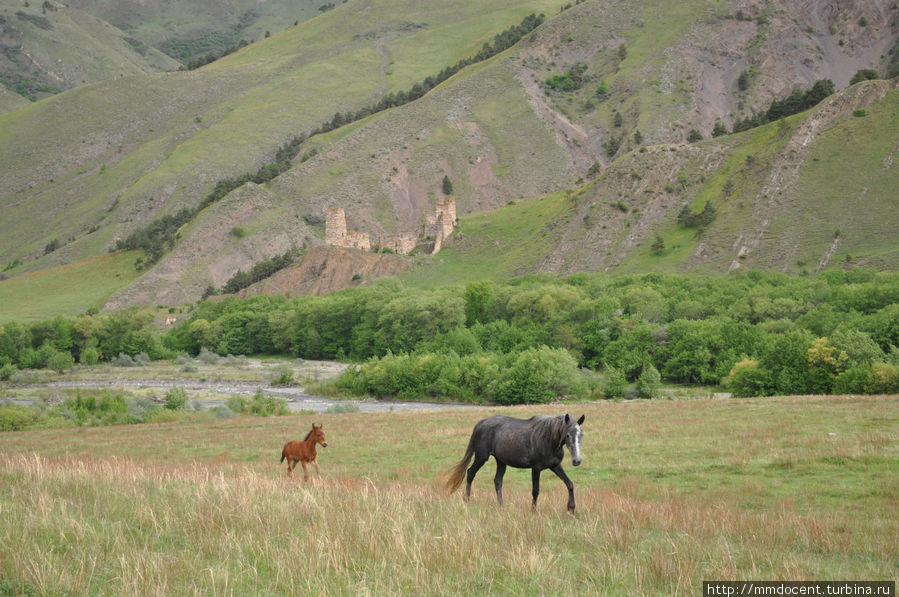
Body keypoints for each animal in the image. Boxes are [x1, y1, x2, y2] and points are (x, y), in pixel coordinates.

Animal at [446, 412, 588, 516]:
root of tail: (481, 423)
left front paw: (571, 509)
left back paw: (501, 506)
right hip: (481, 457)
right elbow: (535, 490)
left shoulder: (555, 466)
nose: (577, 461)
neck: (548, 439)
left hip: (500, 461)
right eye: (568, 435)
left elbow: (569, 484)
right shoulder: (536, 468)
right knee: (470, 473)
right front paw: (533, 511)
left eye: (581, 434)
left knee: (497, 481)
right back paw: (466, 500)